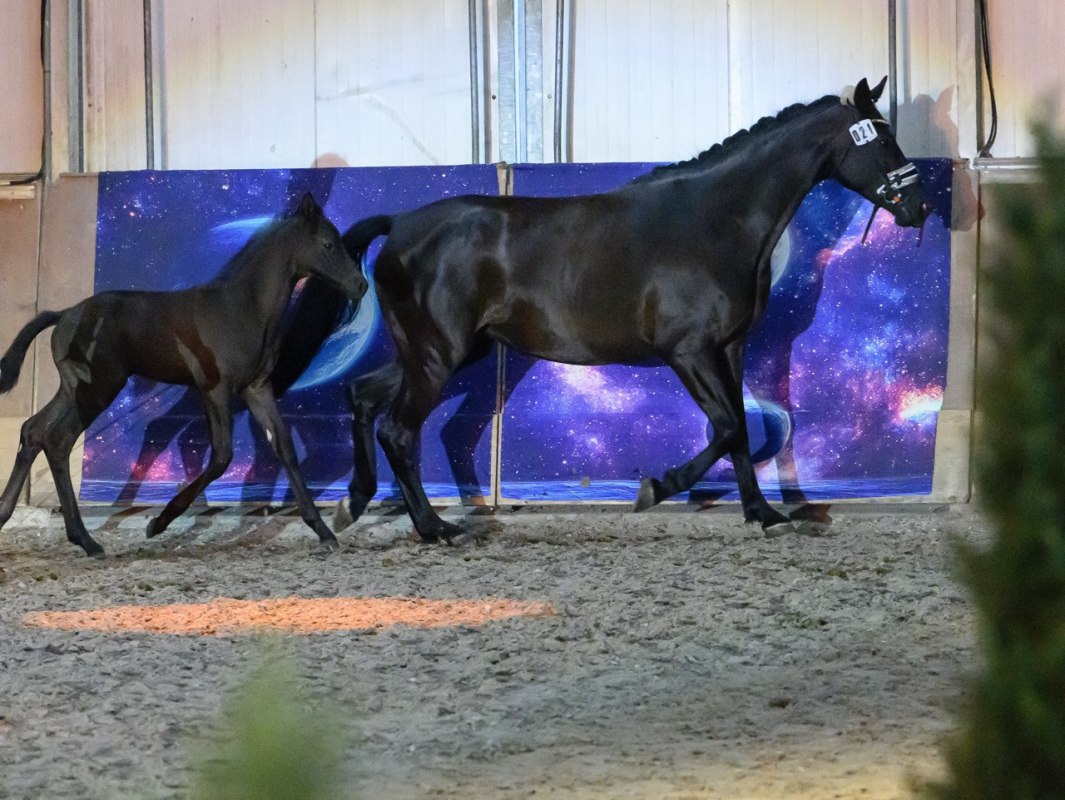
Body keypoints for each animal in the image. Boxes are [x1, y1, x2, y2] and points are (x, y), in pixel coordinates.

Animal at [0, 193, 368, 557]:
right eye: (328, 244)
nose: (360, 284)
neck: (241, 307)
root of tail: (65, 314)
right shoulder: (214, 388)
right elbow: (221, 457)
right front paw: (158, 523)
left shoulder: (257, 389)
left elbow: (284, 448)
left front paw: (323, 531)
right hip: (98, 389)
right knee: (57, 441)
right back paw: (87, 540)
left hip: (72, 388)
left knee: (32, 431)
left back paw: (8, 514)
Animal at [338, 77, 931, 544]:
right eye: (881, 139)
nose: (919, 207)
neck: (716, 222)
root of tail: (400, 225)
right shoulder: (687, 351)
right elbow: (725, 428)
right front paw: (655, 488)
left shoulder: (730, 348)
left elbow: (740, 428)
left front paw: (763, 514)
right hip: (439, 354)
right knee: (398, 430)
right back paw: (435, 528)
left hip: (439, 352)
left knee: (363, 395)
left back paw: (354, 503)